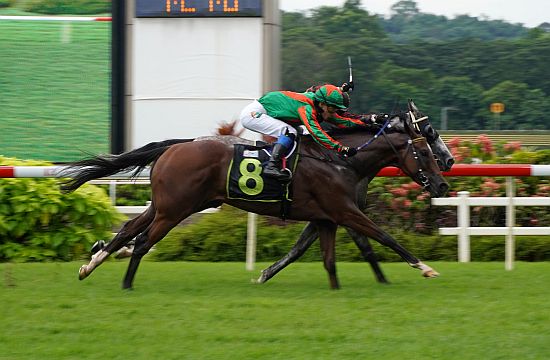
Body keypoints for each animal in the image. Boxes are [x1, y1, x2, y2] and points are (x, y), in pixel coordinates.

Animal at [62, 111, 450, 288]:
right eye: (426, 150)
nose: (443, 182)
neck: (342, 160)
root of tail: (176, 146)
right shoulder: (345, 211)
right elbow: (382, 237)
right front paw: (424, 268)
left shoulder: (326, 217)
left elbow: (324, 259)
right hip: (175, 210)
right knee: (142, 241)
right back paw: (126, 283)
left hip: (166, 206)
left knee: (129, 228)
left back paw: (90, 265)